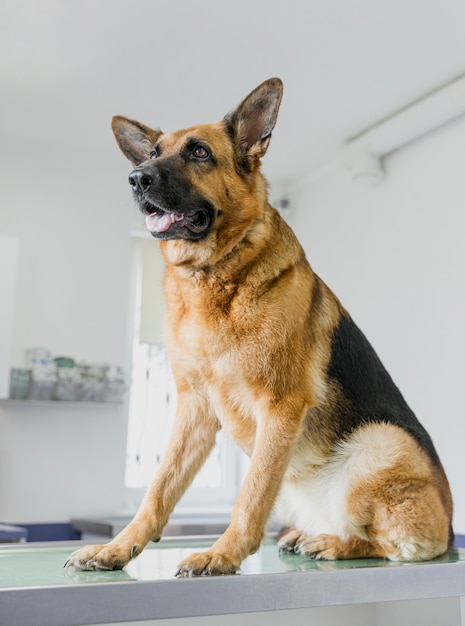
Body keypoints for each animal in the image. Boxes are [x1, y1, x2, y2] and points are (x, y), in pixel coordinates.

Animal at [66, 75, 454, 572]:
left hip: (379, 443)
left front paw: (223, 554)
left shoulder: (279, 407)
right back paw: (306, 534)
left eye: (199, 152)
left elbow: (249, 497)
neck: (213, 276)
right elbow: (159, 489)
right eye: (152, 152)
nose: (137, 178)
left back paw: (333, 543)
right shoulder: (194, 411)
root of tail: (449, 525)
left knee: (387, 545)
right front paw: (118, 547)